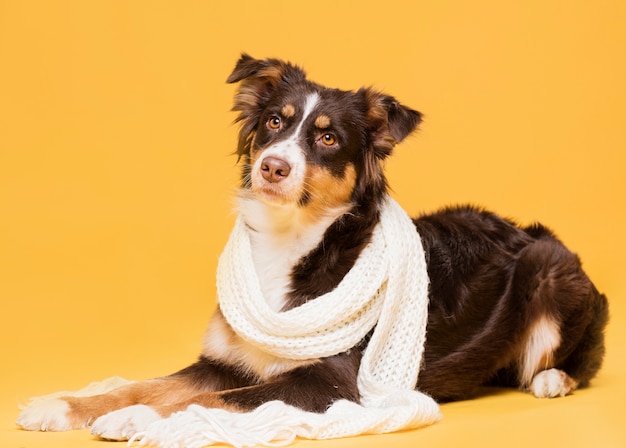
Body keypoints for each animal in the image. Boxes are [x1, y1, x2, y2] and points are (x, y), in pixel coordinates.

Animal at [17, 53, 608, 440]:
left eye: (327, 138)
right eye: (274, 122)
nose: (271, 166)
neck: (290, 243)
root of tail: (537, 234)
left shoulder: (332, 382)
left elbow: (215, 401)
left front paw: (138, 420)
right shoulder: (226, 360)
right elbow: (145, 384)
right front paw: (65, 404)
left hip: (551, 271)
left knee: (583, 360)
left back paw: (552, 378)